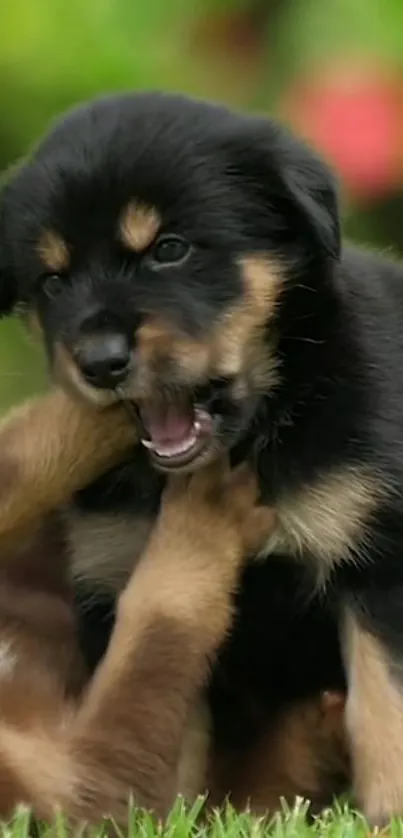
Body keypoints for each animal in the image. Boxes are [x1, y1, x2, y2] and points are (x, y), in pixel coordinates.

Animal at [0, 92, 398, 820]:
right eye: (53, 280)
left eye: (169, 250)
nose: (99, 363)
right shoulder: (113, 576)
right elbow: (163, 724)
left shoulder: (378, 558)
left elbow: (385, 709)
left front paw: (390, 816)